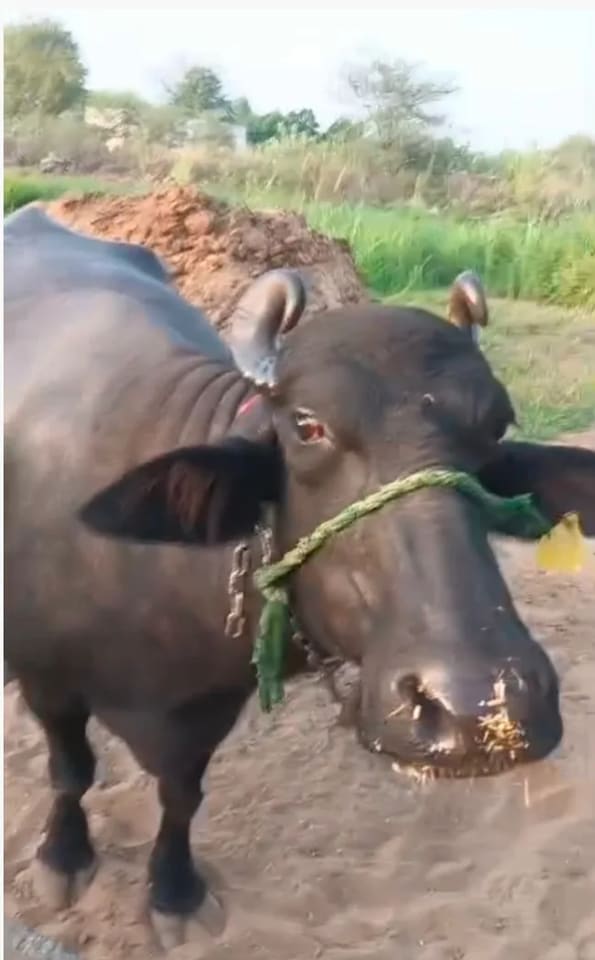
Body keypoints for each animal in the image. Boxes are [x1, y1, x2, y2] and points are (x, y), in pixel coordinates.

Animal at [5, 205, 595, 948]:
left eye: (496, 425)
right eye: (307, 426)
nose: (482, 708)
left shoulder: (208, 707)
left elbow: (181, 796)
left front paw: (173, 891)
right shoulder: (47, 678)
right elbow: (71, 770)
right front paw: (63, 856)